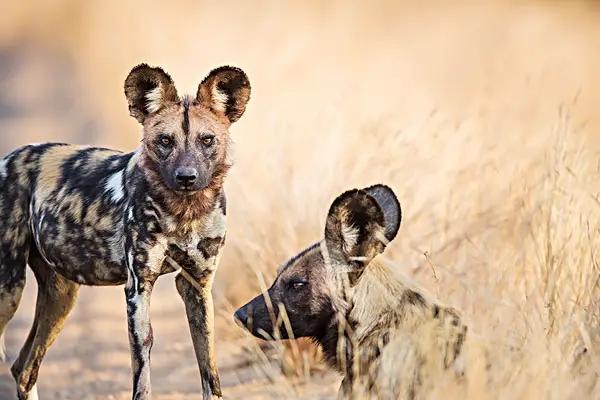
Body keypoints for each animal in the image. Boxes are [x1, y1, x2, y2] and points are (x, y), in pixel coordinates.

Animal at [0, 64, 251, 398]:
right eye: (165, 140)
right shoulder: (138, 287)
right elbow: (142, 371)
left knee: (24, 369)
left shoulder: (197, 286)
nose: (186, 177)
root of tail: (8, 158)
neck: (184, 212)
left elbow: (210, 369)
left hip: (61, 297)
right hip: (9, 291)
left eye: (207, 140)